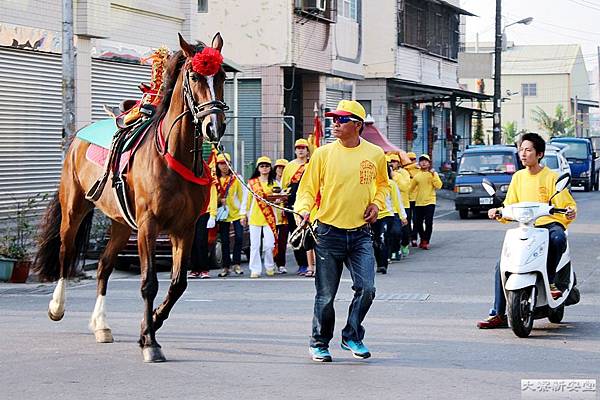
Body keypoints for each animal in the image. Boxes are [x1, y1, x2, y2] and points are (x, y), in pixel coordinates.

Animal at [34, 33, 229, 362]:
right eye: (194, 76)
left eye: (222, 77)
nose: (214, 125)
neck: (172, 155)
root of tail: (78, 135)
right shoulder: (149, 226)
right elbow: (149, 282)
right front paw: (150, 341)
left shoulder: (184, 229)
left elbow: (178, 284)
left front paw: (150, 324)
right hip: (74, 208)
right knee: (65, 251)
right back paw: (57, 306)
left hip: (122, 224)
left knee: (103, 266)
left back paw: (101, 325)